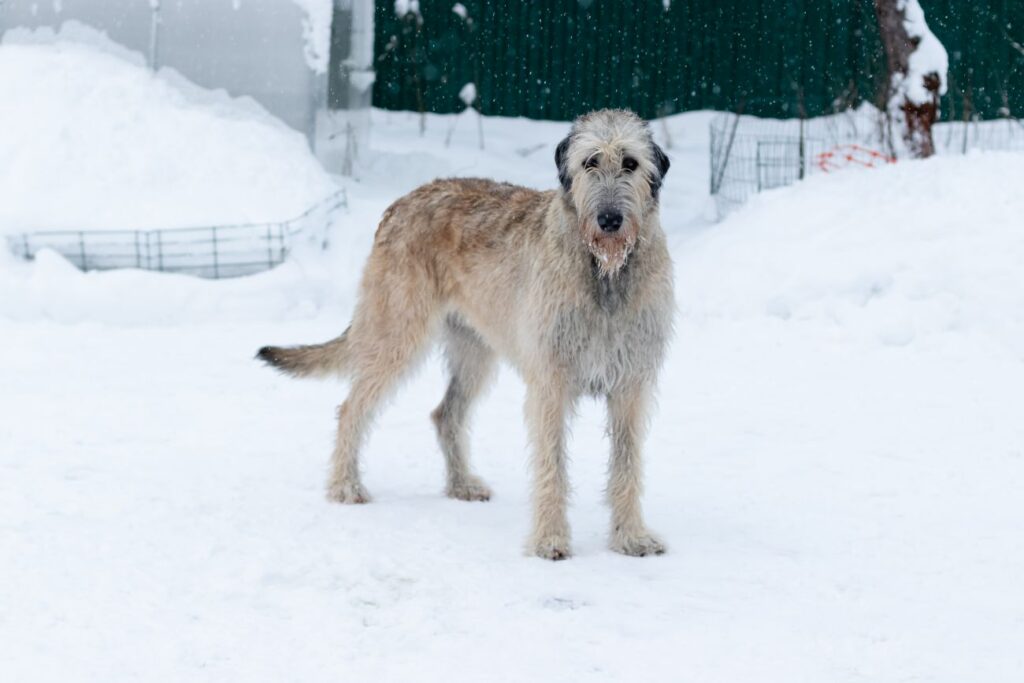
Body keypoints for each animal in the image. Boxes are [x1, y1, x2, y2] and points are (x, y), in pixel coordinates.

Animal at [256, 108, 671, 561]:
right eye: (590, 162)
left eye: (630, 163)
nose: (609, 220)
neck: (605, 273)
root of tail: (401, 202)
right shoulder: (550, 383)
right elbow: (552, 464)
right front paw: (549, 540)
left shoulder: (630, 386)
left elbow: (627, 464)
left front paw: (631, 537)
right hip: (396, 331)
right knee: (351, 408)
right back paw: (345, 486)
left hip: (475, 351)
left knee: (446, 414)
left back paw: (460, 485)